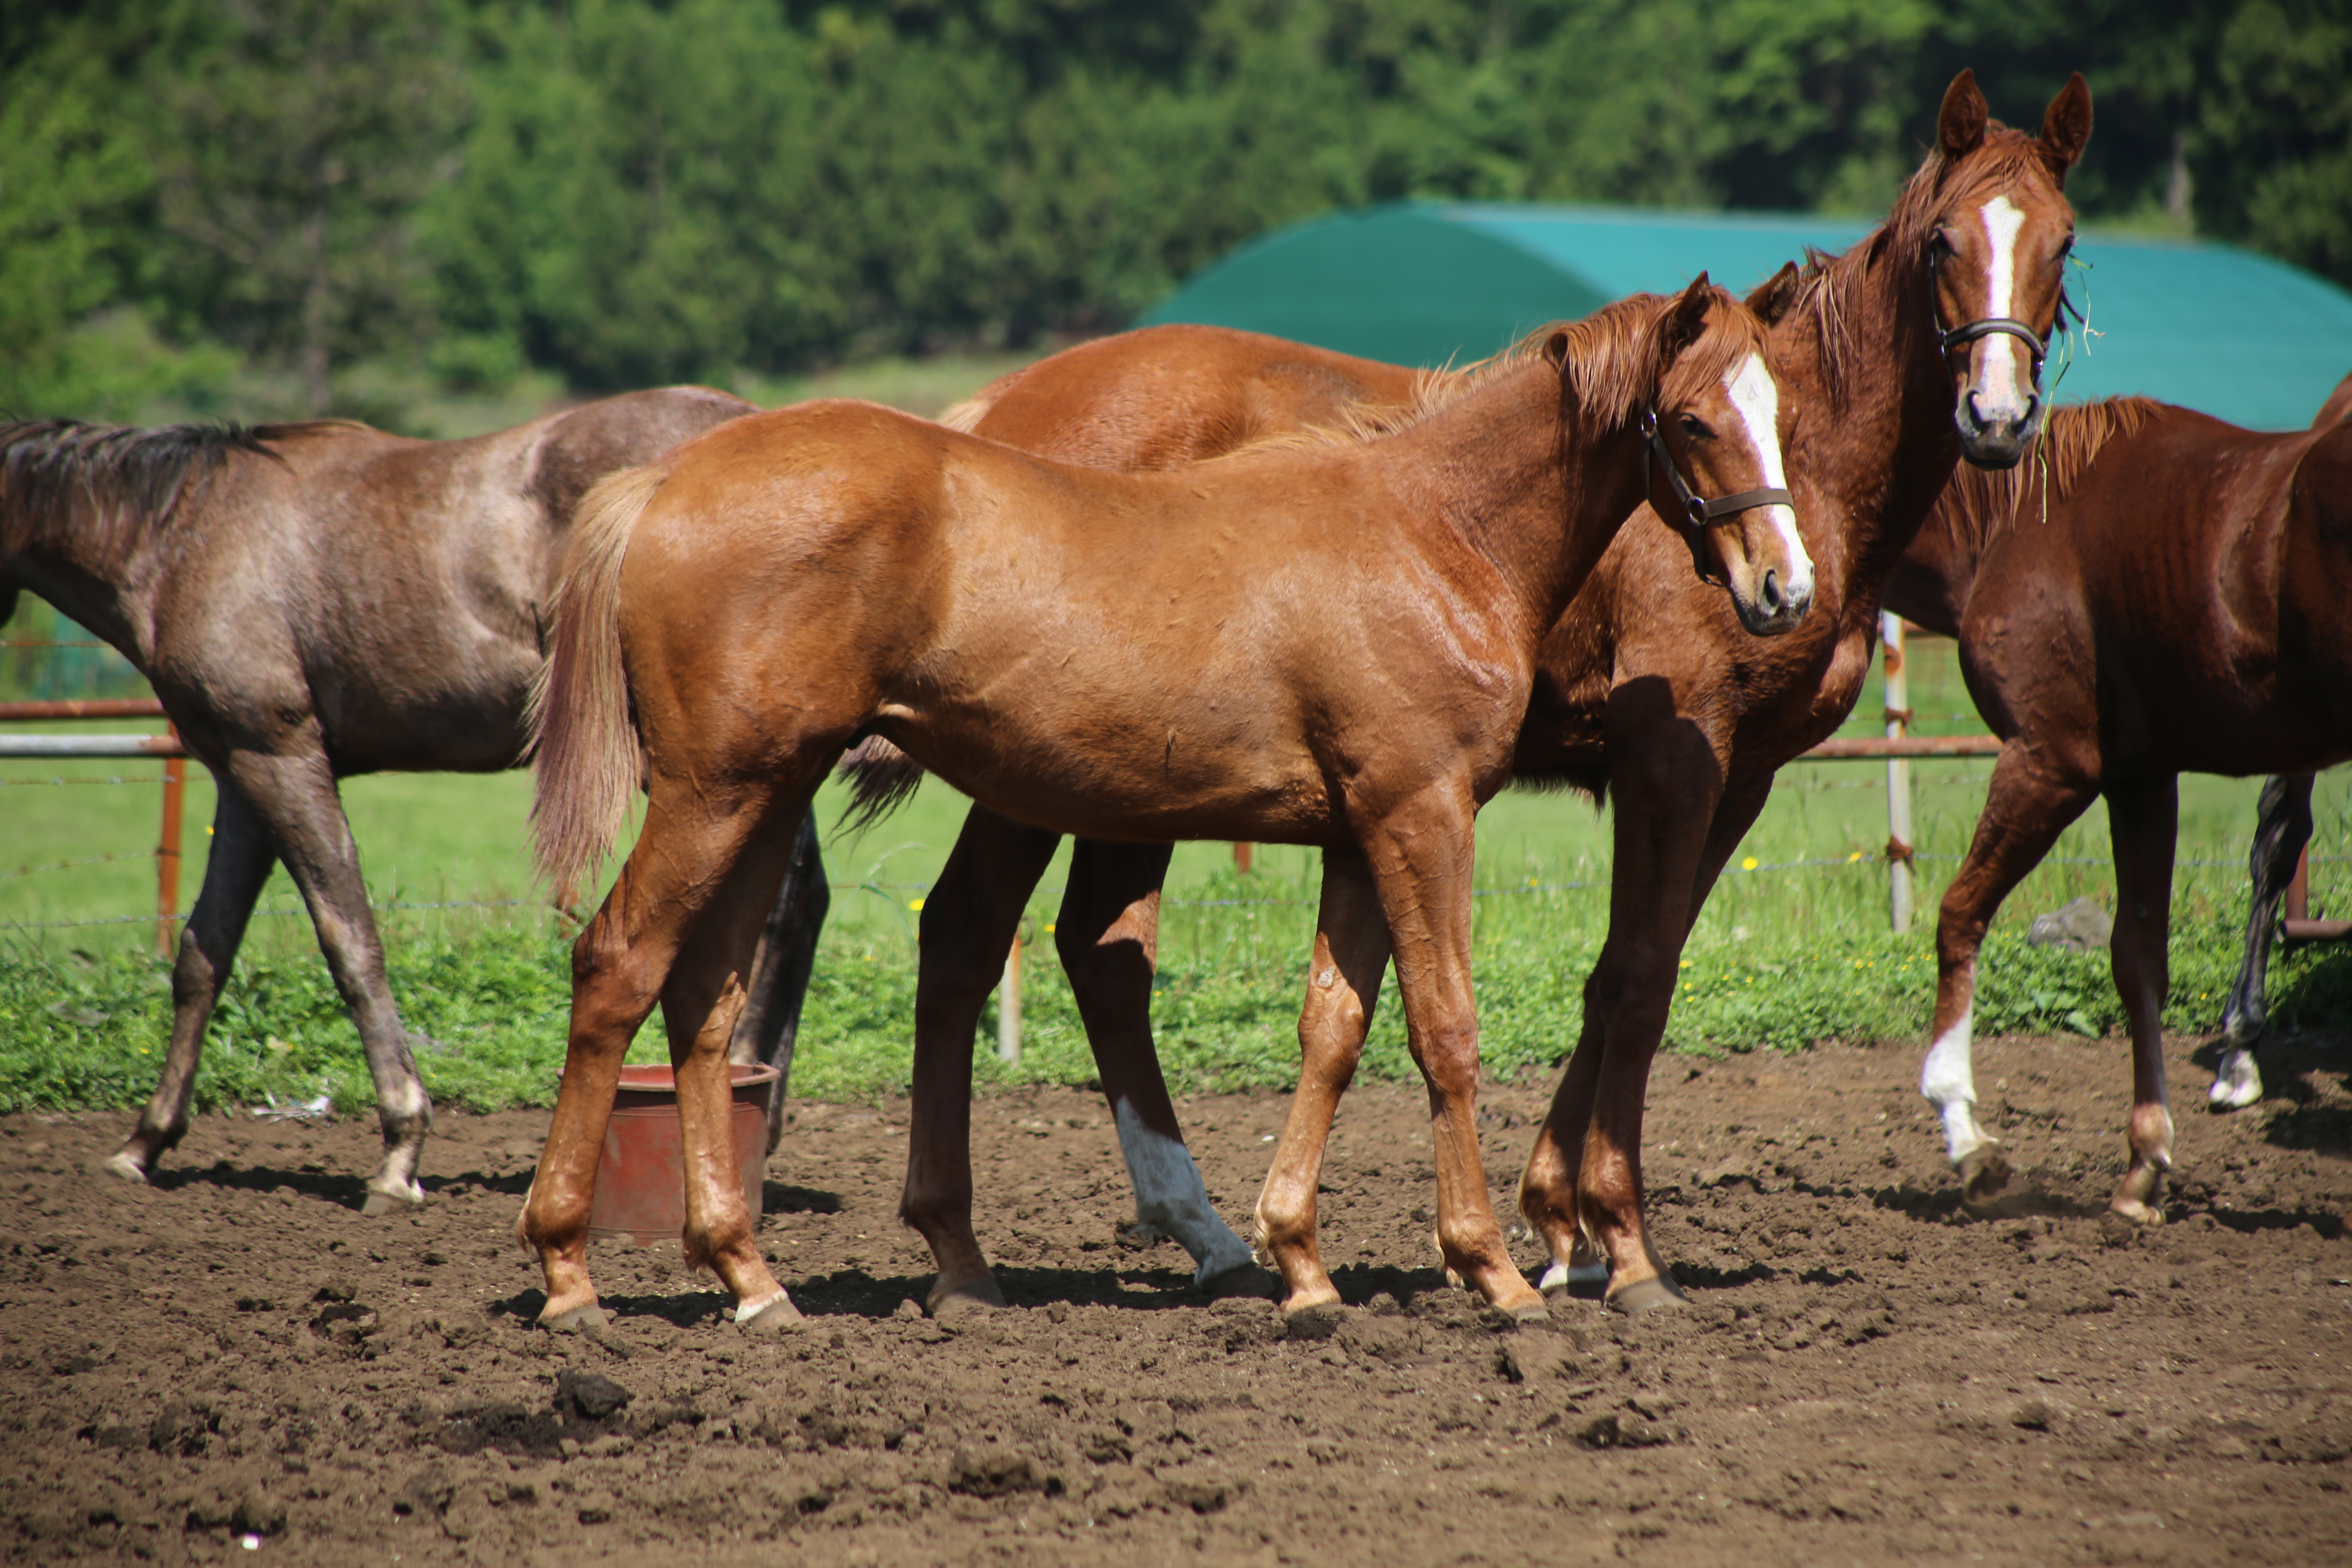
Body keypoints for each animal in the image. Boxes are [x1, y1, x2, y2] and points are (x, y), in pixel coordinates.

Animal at [0, 395, 800, 1213]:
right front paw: (145, 1141)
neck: (185, 534)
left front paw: (400, 1148)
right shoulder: (241, 777)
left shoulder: (282, 760)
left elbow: (350, 943)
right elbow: (203, 954)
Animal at [524, 276, 1787, 1335]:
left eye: (1777, 409)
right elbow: (1446, 1032)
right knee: (619, 963)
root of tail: (662, 482)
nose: (1781, 587)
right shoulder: (1421, 816)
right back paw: (570, 1272)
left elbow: (1333, 1029)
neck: (1429, 534)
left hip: (766, 793)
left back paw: (750, 1275)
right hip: (716, 794)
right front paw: (1493, 1271)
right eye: (1689, 420)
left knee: (706, 993)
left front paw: (1303, 1267)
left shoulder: (1355, 835)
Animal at [837, 67, 2088, 1316]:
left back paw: (1192, 1236)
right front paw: (1604, 1238)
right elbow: (1632, 979)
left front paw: (1556, 1223)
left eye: (2063, 243)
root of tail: (989, 412)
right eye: (1943, 241)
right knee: (982, 938)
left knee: (1082, 953)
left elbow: (1623, 971)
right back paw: (1006, 1242)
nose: (1995, 416)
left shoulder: (1738, 780)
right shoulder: (1668, 760)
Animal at [1882, 374, 2352, 1222]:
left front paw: (1964, 1132)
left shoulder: (2049, 763)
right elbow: (2139, 963)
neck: (2017, 520)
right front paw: (2143, 1166)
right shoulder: (2141, 779)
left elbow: (1958, 917)